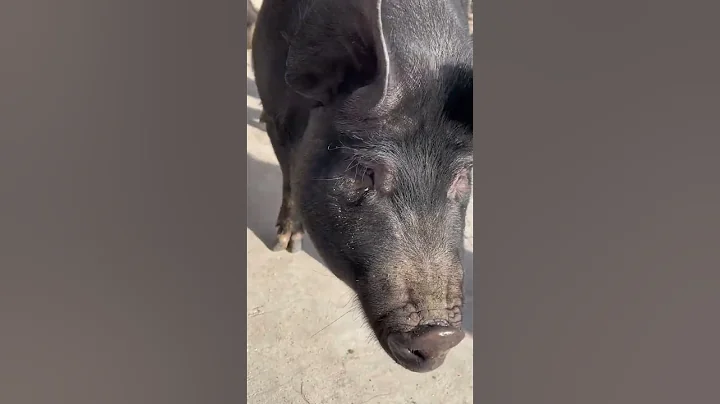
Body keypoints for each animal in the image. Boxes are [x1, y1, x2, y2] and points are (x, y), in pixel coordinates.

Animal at [251, 0, 473, 373]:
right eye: (367, 172)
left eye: (463, 176)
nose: (439, 335)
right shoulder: (277, 116)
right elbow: (290, 174)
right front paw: (285, 247)